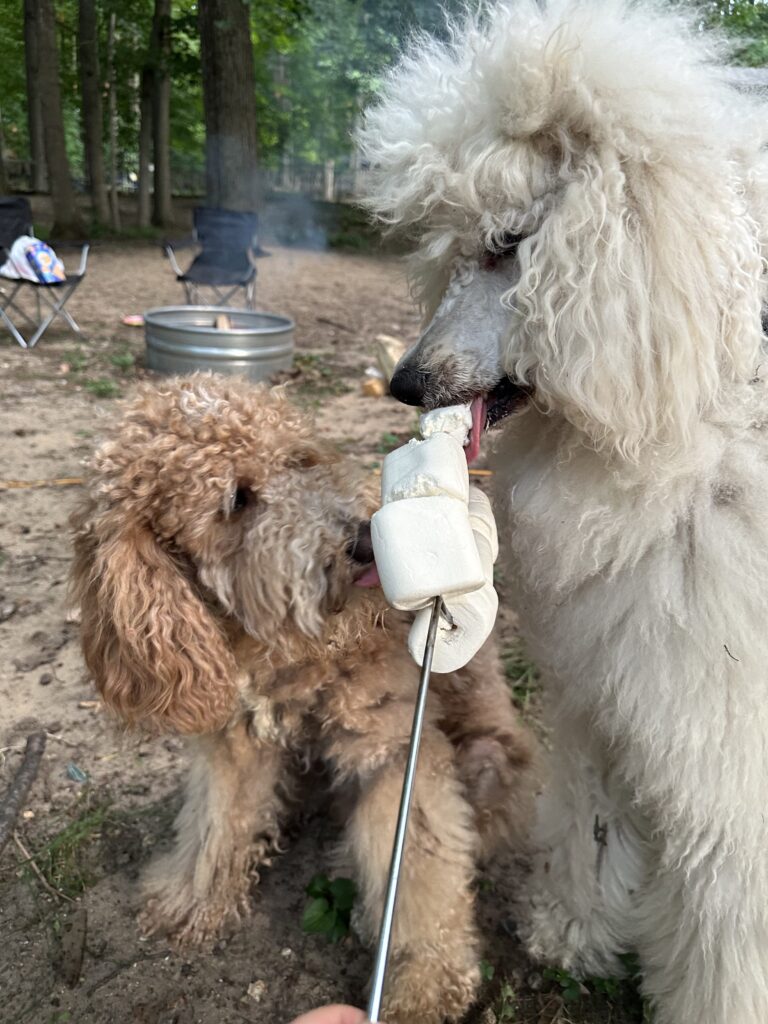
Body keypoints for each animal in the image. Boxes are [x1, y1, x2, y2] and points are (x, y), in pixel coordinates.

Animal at [70, 374, 537, 1024]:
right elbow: (216, 823)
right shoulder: (236, 741)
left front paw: (425, 981)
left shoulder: (391, 751)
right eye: (237, 501)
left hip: (490, 763)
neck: (290, 650)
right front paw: (191, 902)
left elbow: (419, 868)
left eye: (299, 461)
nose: (363, 541)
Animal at [359, 2, 768, 1022]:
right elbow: (592, 825)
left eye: (511, 242)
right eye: (453, 244)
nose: (406, 381)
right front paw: (571, 931)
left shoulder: (731, 764)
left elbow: (727, 929)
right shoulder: (608, 704)